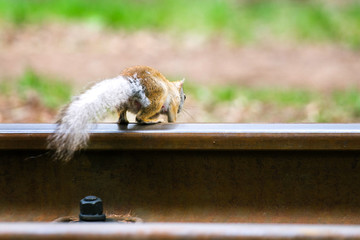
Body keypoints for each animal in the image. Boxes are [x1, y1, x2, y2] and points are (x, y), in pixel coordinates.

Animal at [47, 66, 186, 161]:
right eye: (184, 97)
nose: (181, 108)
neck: (172, 87)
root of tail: (129, 84)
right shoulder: (173, 102)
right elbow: (172, 116)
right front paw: (173, 121)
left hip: (123, 101)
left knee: (123, 115)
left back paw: (124, 120)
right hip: (156, 94)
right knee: (139, 117)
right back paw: (149, 120)